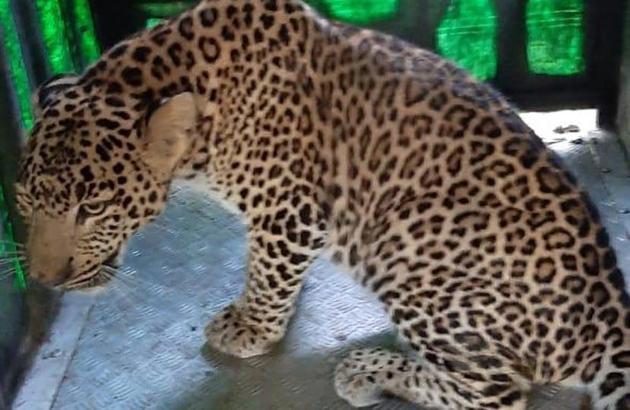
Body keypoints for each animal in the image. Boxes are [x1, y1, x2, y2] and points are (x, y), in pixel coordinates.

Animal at [14, 0, 630, 408]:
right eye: (24, 199)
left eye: (93, 209)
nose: (44, 280)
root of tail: (609, 315)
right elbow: (265, 266)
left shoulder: (290, 207)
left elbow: (267, 274)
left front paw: (254, 328)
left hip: (407, 247)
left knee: (498, 394)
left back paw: (370, 370)